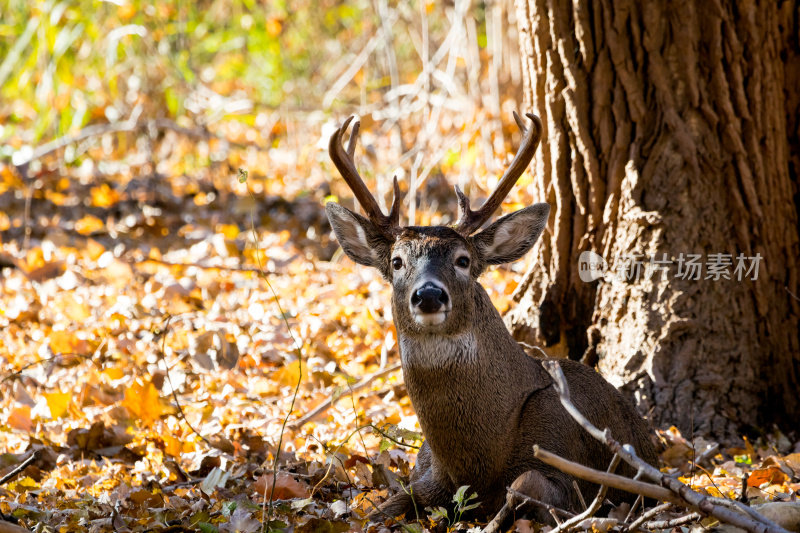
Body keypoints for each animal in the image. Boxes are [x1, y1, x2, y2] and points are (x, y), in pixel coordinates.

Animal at [324, 113, 656, 524]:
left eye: (463, 260)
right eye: (397, 262)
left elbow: (524, 484)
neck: (475, 465)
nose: (429, 295)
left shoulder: (567, 466)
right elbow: (380, 509)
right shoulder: (425, 475)